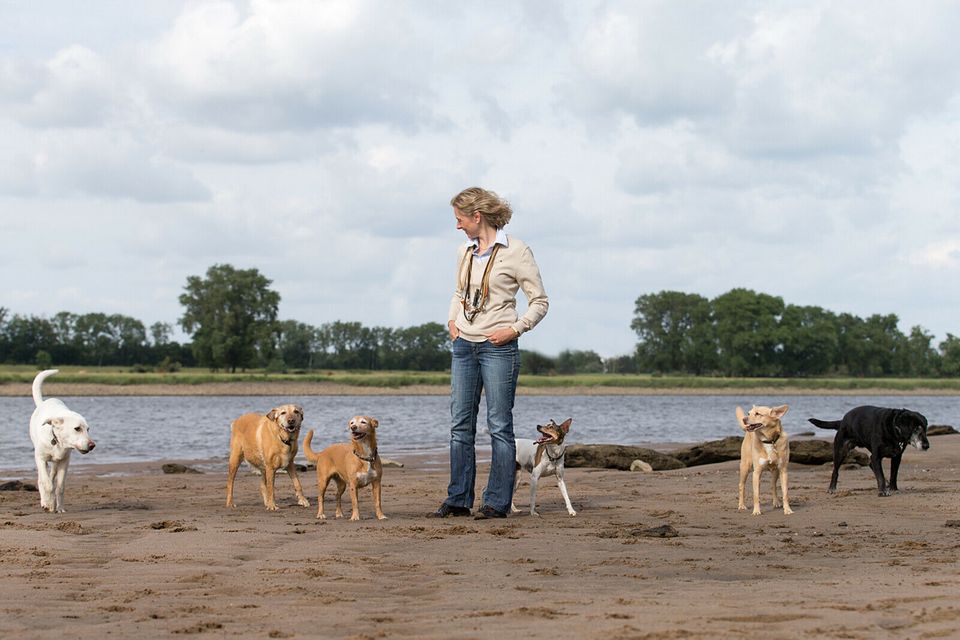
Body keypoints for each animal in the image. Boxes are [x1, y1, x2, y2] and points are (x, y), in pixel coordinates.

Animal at [28, 368, 95, 512]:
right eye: (77, 428)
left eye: (88, 429)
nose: (92, 445)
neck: (57, 442)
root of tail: (43, 403)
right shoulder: (41, 459)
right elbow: (48, 484)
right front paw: (49, 504)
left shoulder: (65, 461)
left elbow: (60, 486)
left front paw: (59, 508)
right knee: (42, 480)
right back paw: (44, 501)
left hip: (56, 463)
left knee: (52, 475)